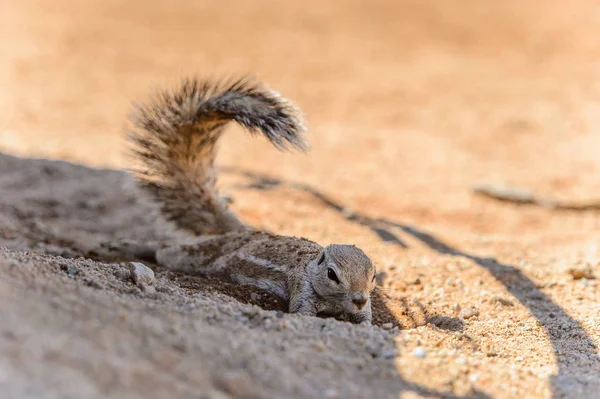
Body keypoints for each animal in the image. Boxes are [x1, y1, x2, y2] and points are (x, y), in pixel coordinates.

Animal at [129, 76, 376, 324]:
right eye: (332, 274)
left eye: (373, 275)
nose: (359, 299)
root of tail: (245, 231)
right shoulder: (302, 289)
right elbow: (302, 313)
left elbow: (365, 319)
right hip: (203, 256)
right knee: (168, 251)